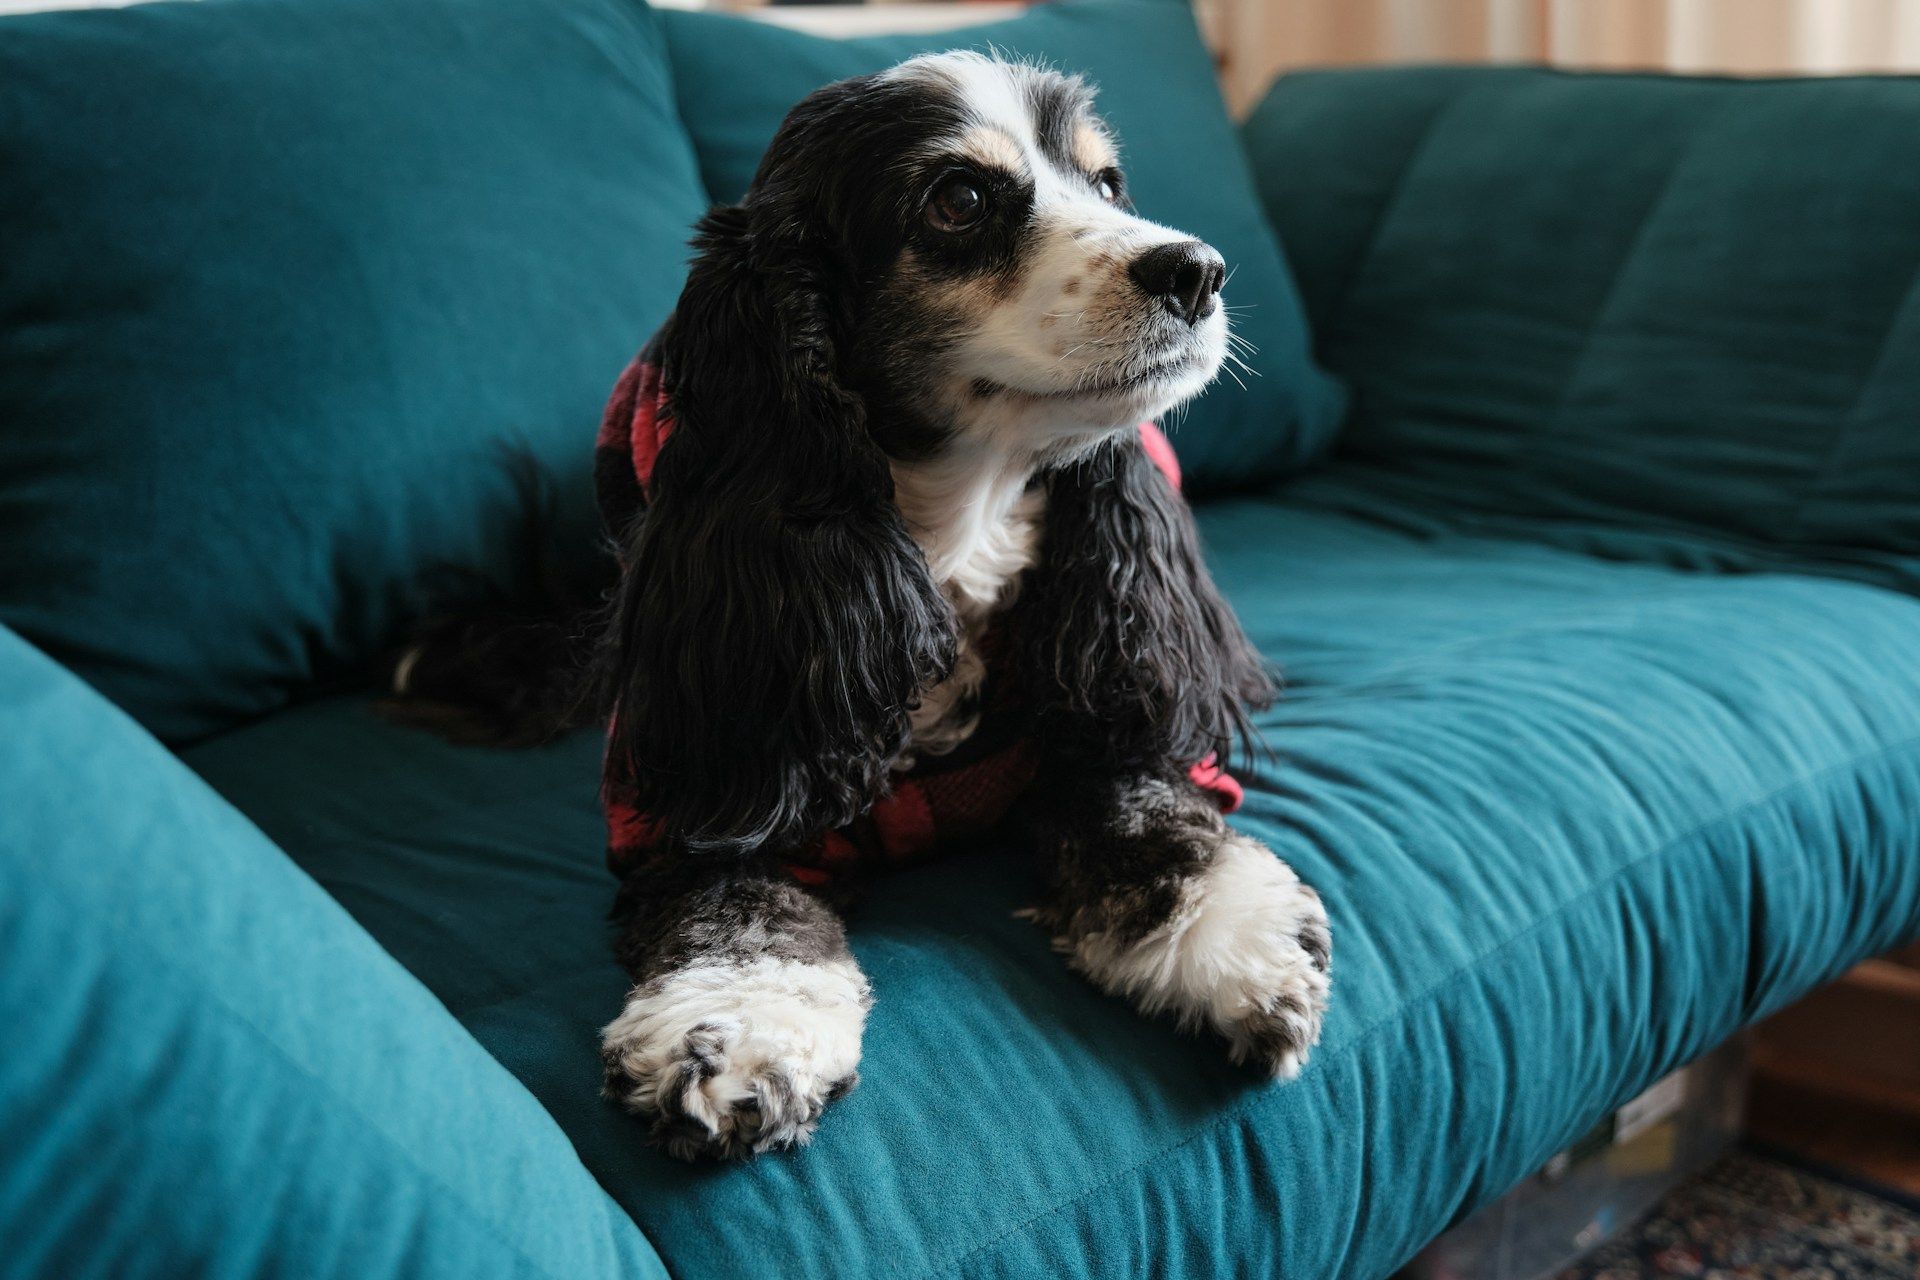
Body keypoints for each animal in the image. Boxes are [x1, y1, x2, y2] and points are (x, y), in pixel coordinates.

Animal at [385, 55, 1320, 1166]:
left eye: (1106, 185)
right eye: (958, 200)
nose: (1199, 270)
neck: (946, 541)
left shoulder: (1101, 685)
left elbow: (1143, 801)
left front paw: (1231, 936)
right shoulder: (704, 780)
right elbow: (736, 907)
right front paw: (738, 1032)